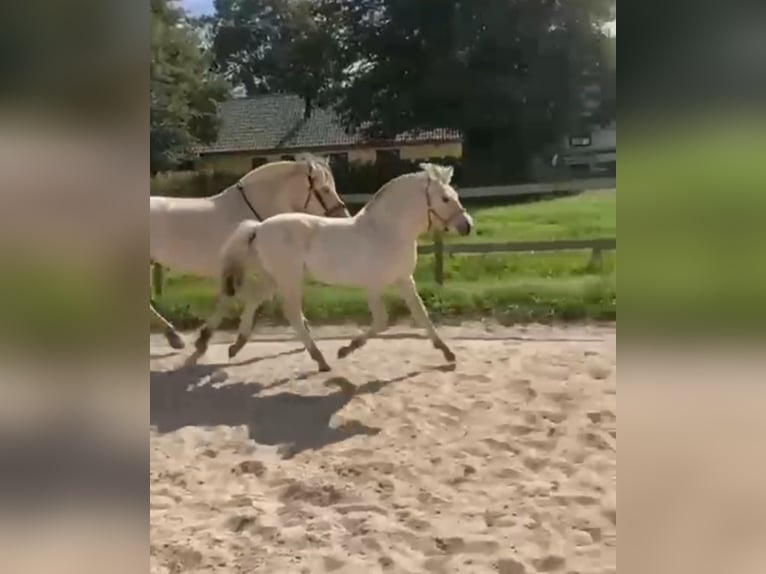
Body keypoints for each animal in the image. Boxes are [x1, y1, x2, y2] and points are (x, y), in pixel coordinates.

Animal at [191, 162, 474, 372]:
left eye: (455, 196)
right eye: (445, 198)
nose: (467, 226)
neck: (387, 231)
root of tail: (259, 227)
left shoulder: (404, 279)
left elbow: (421, 315)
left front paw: (447, 353)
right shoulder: (374, 286)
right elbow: (382, 321)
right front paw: (345, 349)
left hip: (274, 277)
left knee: (254, 299)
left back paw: (236, 345)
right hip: (289, 279)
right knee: (292, 313)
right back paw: (321, 360)